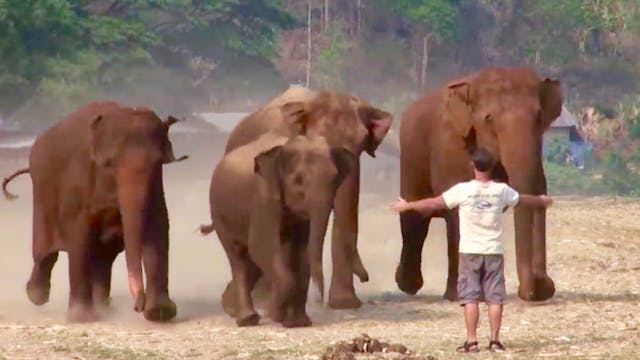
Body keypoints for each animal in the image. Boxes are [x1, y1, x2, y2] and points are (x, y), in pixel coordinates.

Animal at [1, 102, 188, 324]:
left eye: (158, 162)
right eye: (110, 163)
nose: (137, 307)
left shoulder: (156, 185)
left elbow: (158, 226)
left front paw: (160, 314)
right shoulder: (78, 180)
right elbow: (79, 235)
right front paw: (81, 318)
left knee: (103, 257)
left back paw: (105, 308)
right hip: (41, 194)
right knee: (45, 253)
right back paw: (36, 295)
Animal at [200, 132, 356, 326]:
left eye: (335, 179)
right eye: (298, 179)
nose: (320, 302)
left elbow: (300, 251)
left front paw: (297, 323)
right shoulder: (262, 197)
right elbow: (260, 245)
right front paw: (275, 315)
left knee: (254, 262)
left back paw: (233, 309)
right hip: (219, 212)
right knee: (239, 257)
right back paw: (248, 319)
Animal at [398, 67, 564, 300]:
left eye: (539, 117)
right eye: (489, 118)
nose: (539, 288)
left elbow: (535, 189)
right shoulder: (450, 145)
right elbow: (457, 207)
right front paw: (460, 295)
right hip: (410, 158)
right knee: (414, 218)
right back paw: (409, 285)